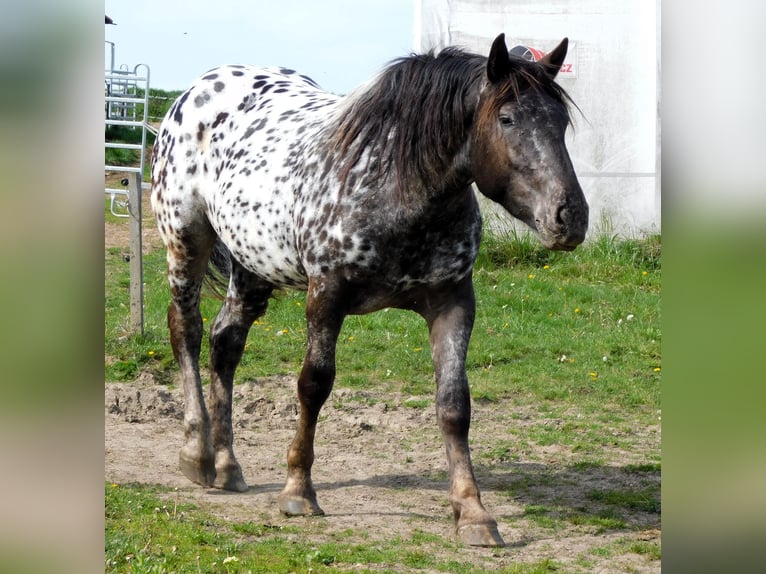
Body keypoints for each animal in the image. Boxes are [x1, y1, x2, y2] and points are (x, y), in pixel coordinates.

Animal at [153, 32, 592, 548]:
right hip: (186, 242)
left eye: (561, 122)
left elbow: (454, 405)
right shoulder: (326, 296)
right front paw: (298, 490)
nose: (571, 217)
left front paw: (473, 512)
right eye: (507, 119)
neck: (398, 186)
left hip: (252, 265)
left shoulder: (453, 302)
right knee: (186, 329)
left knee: (225, 344)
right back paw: (197, 454)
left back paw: (227, 466)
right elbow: (313, 385)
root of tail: (199, 89)